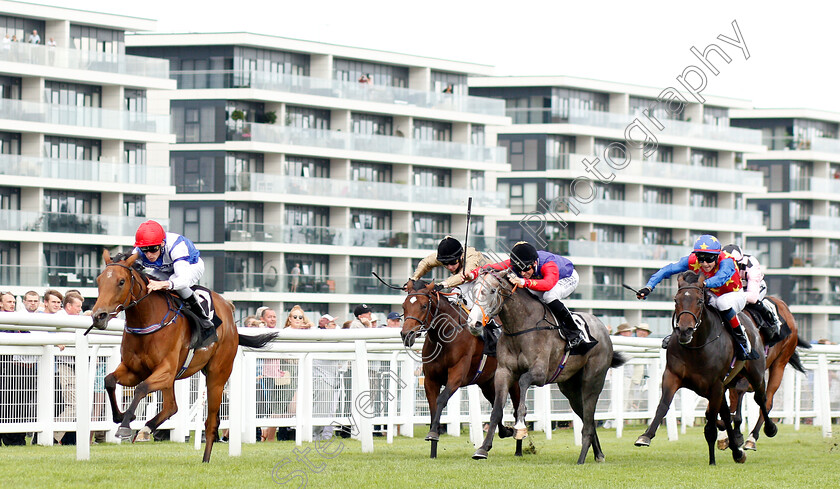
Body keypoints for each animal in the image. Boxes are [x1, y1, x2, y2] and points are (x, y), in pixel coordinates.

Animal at [91, 250, 276, 460]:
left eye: (121, 281)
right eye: (99, 280)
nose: (98, 316)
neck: (147, 320)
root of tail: (230, 317)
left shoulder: (166, 370)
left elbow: (141, 388)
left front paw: (124, 425)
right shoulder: (134, 370)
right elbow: (109, 380)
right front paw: (121, 416)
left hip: (217, 376)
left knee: (211, 422)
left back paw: (205, 459)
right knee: (172, 406)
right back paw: (147, 429)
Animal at [398, 278, 520, 458]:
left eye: (424, 306)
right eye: (404, 306)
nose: (407, 334)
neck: (443, 337)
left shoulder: (456, 375)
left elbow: (442, 399)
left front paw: (433, 433)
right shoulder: (430, 380)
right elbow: (433, 407)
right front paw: (433, 447)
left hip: (513, 380)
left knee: (518, 409)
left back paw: (519, 448)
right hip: (487, 383)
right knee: (497, 406)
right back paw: (504, 433)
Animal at [466, 268, 624, 464]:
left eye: (492, 291)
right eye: (473, 292)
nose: (473, 323)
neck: (520, 327)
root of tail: (604, 330)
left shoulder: (540, 373)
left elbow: (523, 382)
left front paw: (520, 426)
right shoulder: (503, 372)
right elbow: (496, 410)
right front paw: (483, 449)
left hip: (592, 381)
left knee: (588, 418)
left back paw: (582, 458)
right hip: (570, 388)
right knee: (588, 419)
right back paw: (598, 454)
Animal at [632, 268, 776, 464]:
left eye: (699, 301)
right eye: (676, 300)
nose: (684, 331)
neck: (697, 346)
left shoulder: (715, 386)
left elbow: (711, 426)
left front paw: (712, 460)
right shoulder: (672, 376)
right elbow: (663, 405)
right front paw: (645, 436)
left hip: (755, 374)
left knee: (761, 399)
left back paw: (767, 430)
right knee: (726, 414)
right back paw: (737, 451)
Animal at [720, 294, 812, 450]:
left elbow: (742, 396)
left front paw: (737, 433)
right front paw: (725, 433)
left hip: (780, 363)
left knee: (767, 401)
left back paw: (753, 437)